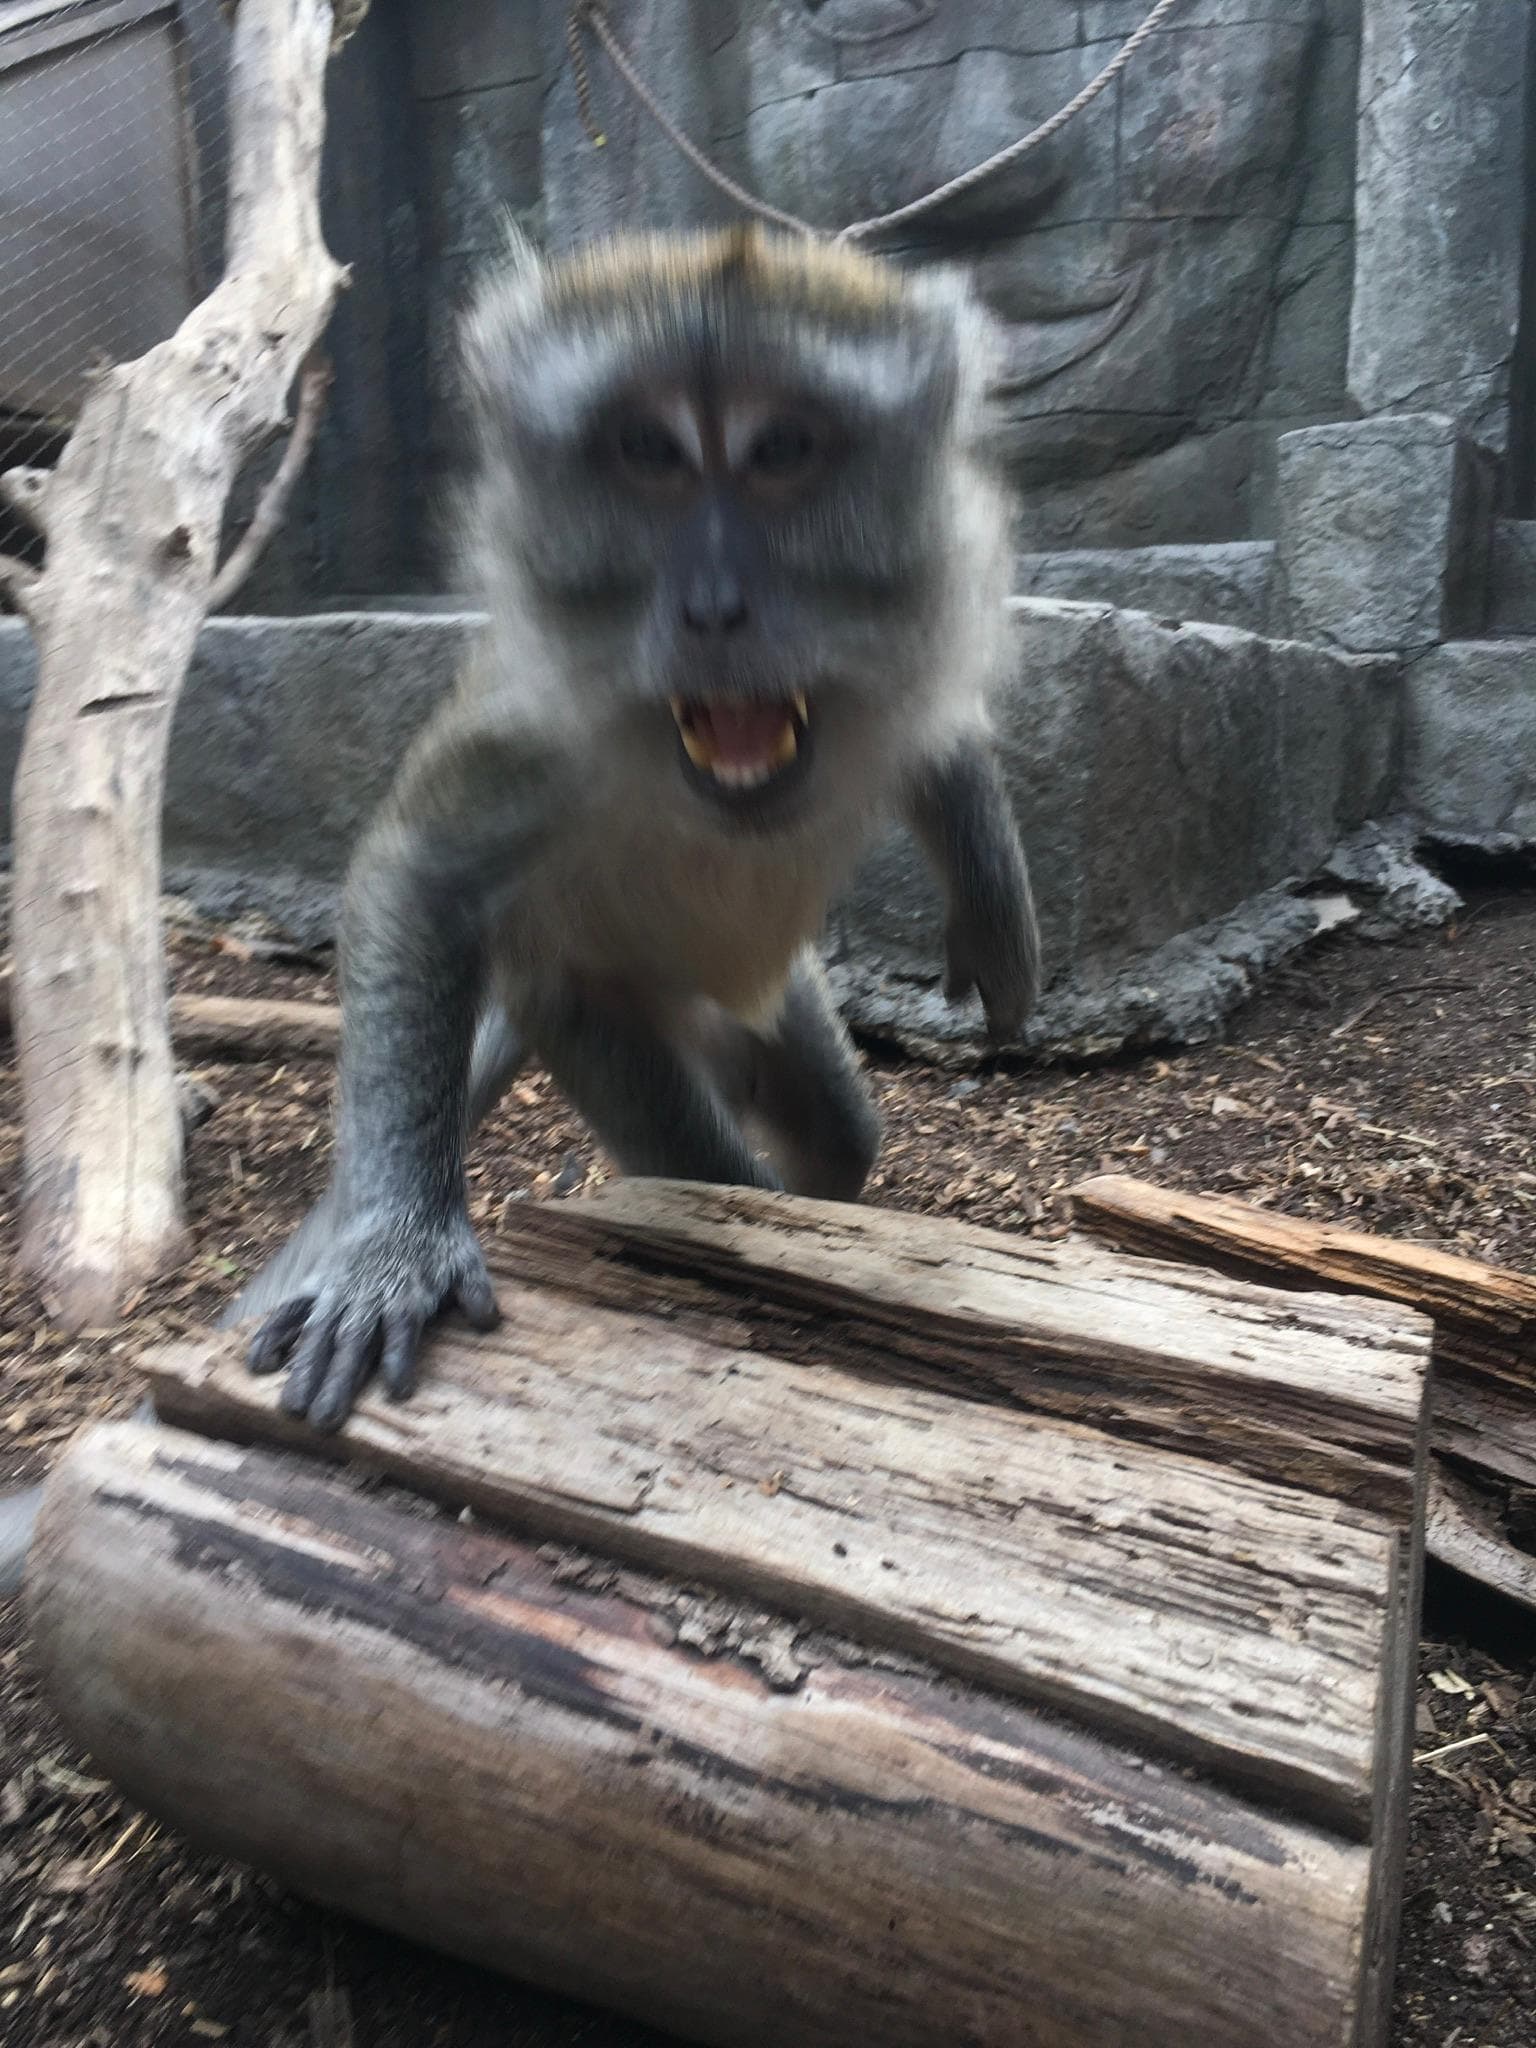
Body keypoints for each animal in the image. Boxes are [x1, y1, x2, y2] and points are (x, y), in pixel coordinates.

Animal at [0, 224, 1036, 1595]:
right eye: (649, 455)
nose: (714, 605)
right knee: (665, 1105)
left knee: (833, 1127)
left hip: (773, 1004)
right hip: (600, 1015)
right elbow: (413, 876)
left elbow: (940, 744)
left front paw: (992, 892)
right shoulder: (530, 732)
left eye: (782, 454)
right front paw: (398, 1248)